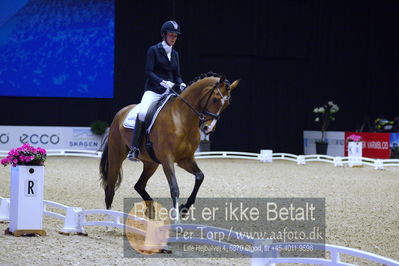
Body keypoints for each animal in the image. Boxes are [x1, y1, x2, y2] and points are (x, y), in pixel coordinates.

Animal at [99, 72, 239, 220]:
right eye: (215, 99)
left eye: (227, 104)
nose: (208, 129)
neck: (182, 118)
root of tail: (120, 113)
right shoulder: (167, 159)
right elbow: (174, 188)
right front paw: (177, 218)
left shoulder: (185, 160)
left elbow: (200, 177)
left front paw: (184, 208)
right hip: (116, 155)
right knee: (110, 188)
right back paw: (109, 218)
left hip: (151, 163)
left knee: (139, 185)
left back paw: (150, 211)